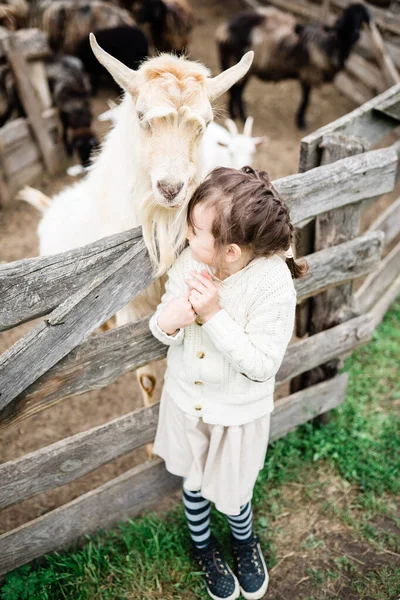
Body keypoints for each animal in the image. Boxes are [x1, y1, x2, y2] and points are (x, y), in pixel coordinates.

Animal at [20, 34, 252, 408]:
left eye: (204, 124)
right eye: (142, 116)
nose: (171, 188)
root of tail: (50, 206)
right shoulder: (128, 305)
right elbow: (145, 376)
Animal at [217, 3, 370, 127]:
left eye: (361, 22)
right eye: (343, 22)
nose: (355, 35)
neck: (329, 44)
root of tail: (225, 30)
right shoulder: (308, 73)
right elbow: (306, 99)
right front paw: (301, 121)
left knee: (234, 89)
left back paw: (233, 113)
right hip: (242, 64)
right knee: (237, 91)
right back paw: (242, 116)